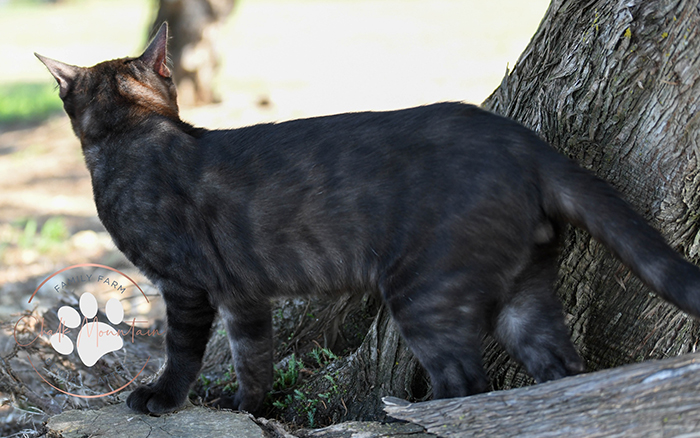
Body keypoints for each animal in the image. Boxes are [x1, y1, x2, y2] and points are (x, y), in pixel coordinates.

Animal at [34, 23, 700, 414]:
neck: (135, 131)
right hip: (524, 291)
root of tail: (524, 143)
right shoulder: (245, 294)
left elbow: (182, 350)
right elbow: (255, 356)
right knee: (557, 367)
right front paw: (251, 409)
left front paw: (162, 398)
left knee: (463, 385)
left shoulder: (187, 286)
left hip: (426, 293)